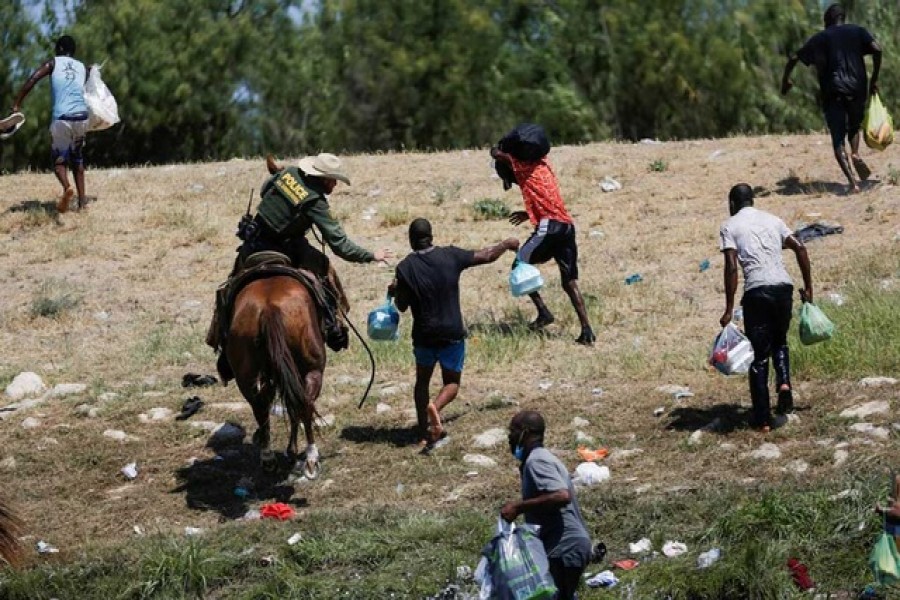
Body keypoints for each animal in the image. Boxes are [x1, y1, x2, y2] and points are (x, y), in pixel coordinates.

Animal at [225, 276, 326, 478]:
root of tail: (269, 307)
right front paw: (293, 452)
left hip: (248, 378)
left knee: (262, 408)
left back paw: (269, 458)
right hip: (312, 370)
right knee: (302, 405)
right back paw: (309, 458)